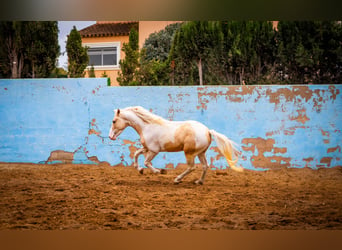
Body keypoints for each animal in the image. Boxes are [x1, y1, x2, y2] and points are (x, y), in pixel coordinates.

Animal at [108, 105, 242, 184]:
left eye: (114, 121)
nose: (110, 137)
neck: (147, 126)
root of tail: (208, 131)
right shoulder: (146, 148)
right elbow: (136, 154)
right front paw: (139, 169)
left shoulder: (154, 151)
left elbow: (146, 162)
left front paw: (158, 171)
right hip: (200, 153)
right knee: (205, 166)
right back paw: (199, 181)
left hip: (189, 153)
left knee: (192, 167)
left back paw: (177, 179)